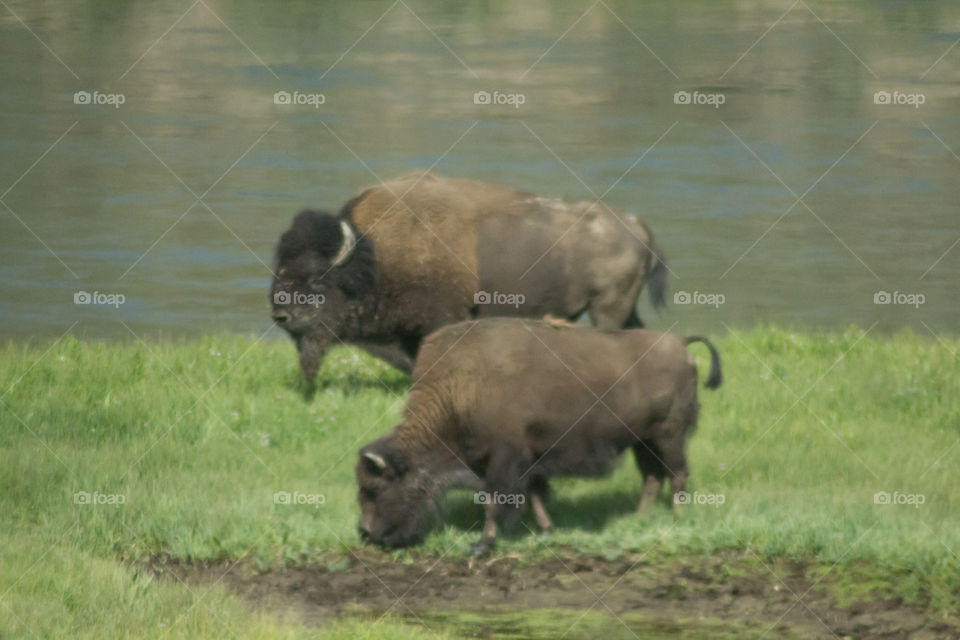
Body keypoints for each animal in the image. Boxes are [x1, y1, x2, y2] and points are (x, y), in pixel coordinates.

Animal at [266, 171, 664, 380]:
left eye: (316, 280)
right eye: (279, 271)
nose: (281, 315)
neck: (374, 257)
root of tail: (637, 226)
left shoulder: (443, 319)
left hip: (607, 309)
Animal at [356, 318, 724, 552]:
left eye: (375, 489)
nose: (366, 533)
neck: (460, 386)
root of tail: (680, 344)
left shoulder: (503, 460)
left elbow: (494, 501)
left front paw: (483, 544)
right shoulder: (526, 459)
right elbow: (533, 494)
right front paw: (548, 530)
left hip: (669, 435)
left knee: (677, 474)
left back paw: (676, 518)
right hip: (642, 441)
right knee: (652, 477)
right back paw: (638, 518)